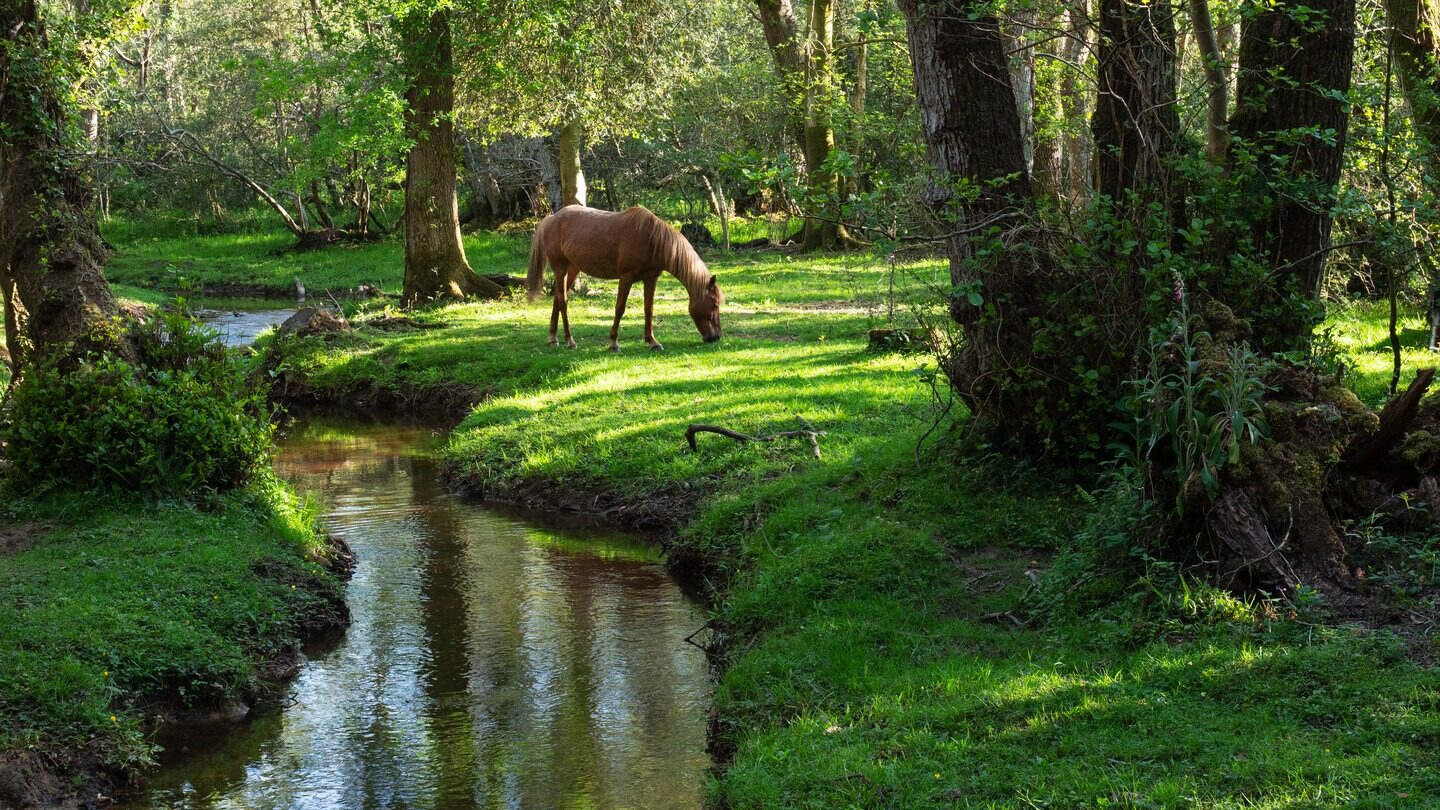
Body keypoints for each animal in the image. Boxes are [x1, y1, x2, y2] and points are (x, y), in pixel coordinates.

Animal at [525, 205, 723, 351]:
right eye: (714, 305)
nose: (716, 337)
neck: (651, 239)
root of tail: (552, 219)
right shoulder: (626, 278)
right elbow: (619, 308)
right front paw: (613, 343)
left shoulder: (651, 278)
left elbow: (649, 309)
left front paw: (652, 342)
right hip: (560, 269)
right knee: (563, 302)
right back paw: (569, 340)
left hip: (572, 269)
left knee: (557, 299)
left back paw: (553, 338)